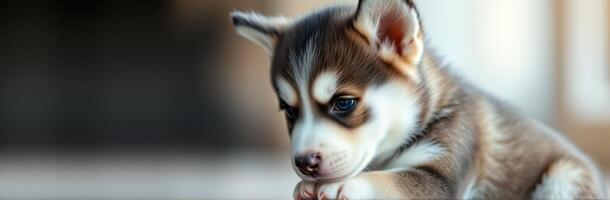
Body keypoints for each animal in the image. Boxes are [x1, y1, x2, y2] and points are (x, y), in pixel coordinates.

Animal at [228, 0, 604, 198]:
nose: (304, 163)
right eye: (289, 110)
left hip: (565, 176)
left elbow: (389, 178)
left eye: (344, 102)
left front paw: (344, 185)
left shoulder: (443, 172)